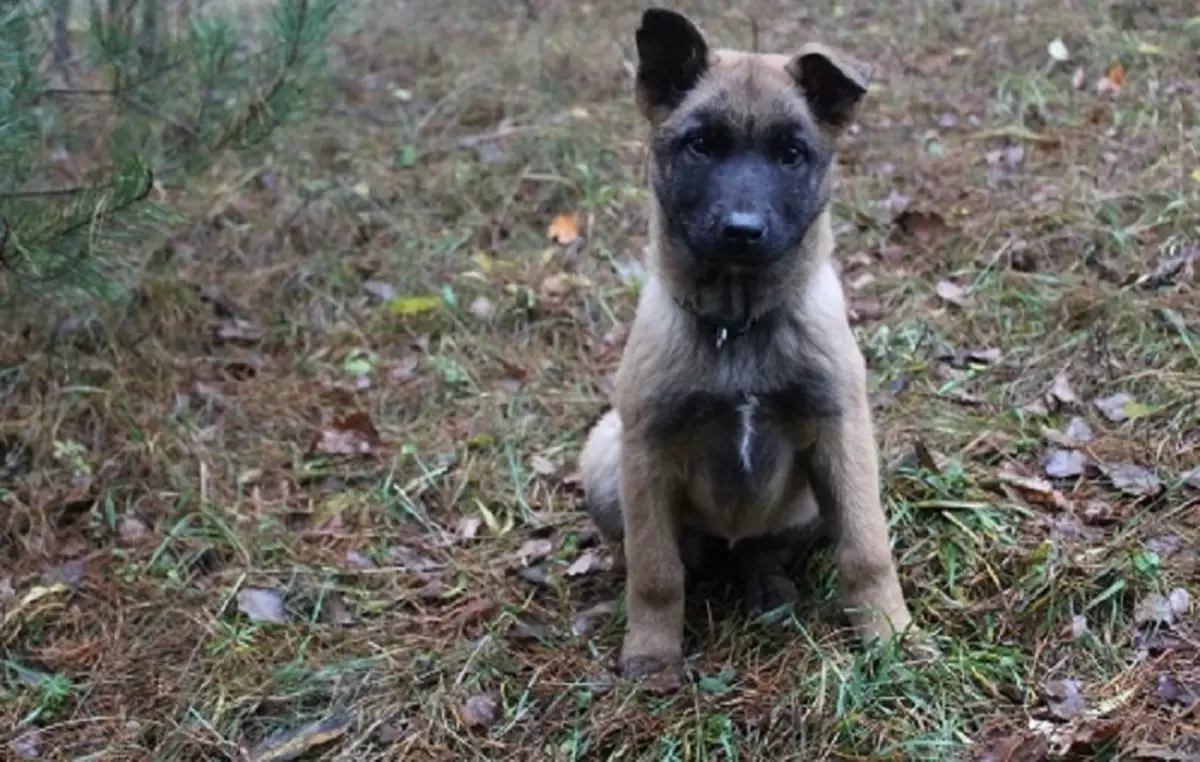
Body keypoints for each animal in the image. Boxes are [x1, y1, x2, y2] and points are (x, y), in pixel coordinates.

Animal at [576, 8, 921, 681]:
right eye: (701, 146)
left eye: (791, 155)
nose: (742, 231)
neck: (737, 325)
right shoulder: (647, 450)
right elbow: (656, 573)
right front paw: (651, 654)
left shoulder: (841, 432)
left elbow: (867, 551)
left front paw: (891, 637)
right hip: (606, 458)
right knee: (666, 556)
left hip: (812, 495)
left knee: (761, 549)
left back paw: (767, 586)